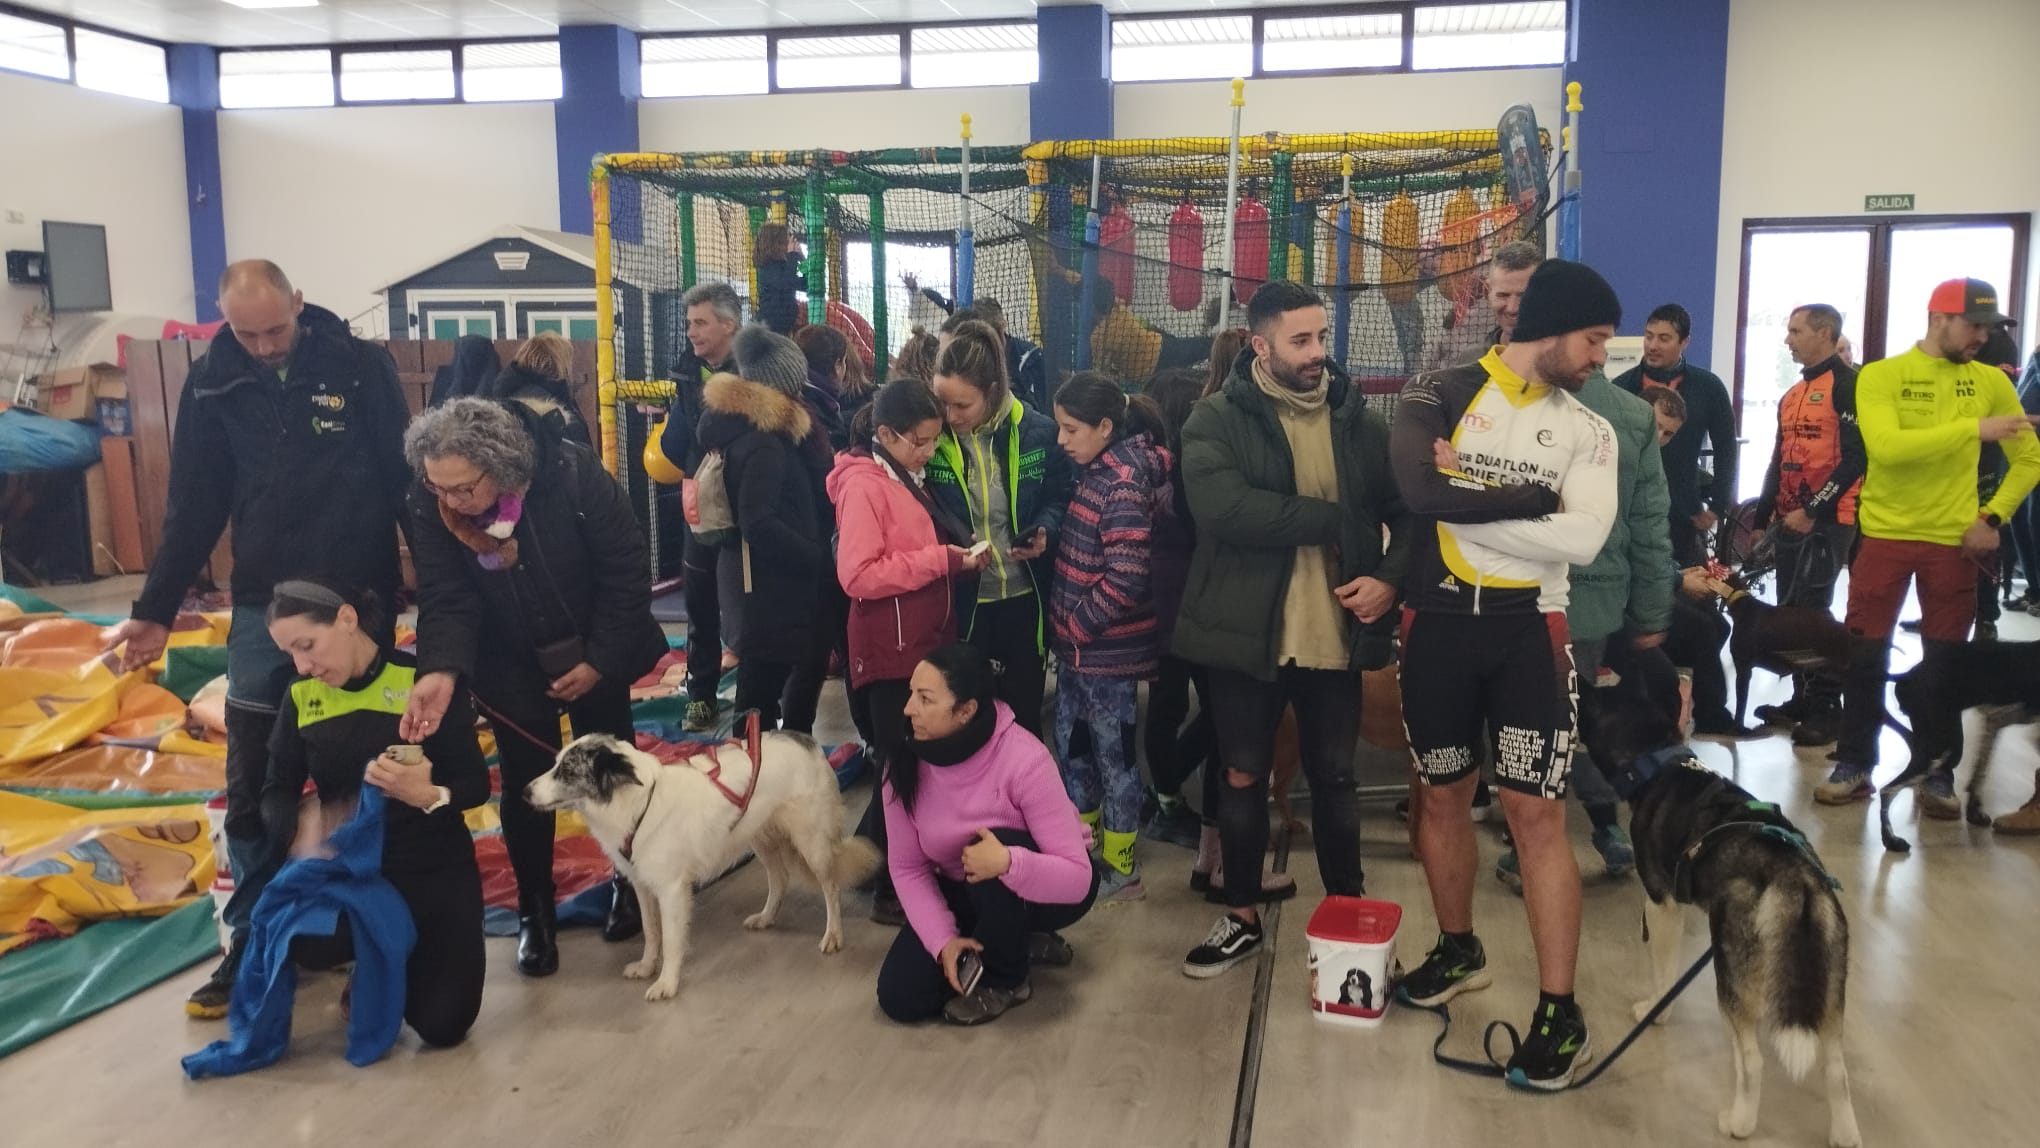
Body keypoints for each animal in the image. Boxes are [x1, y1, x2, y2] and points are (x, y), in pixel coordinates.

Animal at [526, 734, 877, 1003]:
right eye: (556, 764)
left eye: (566, 771)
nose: (524, 791)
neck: (637, 803)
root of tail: (808, 741)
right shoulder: (642, 884)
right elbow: (651, 933)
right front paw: (646, 967)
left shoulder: (671, 891)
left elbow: (670, 941)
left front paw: (666, 983)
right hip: (758, 836)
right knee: (779, 878)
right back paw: (766, 917)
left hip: (810, 841)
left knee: (831, 887)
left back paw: (833, 935)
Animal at [1583, 689, 1860, 1141]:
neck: (1661, 764)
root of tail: (1794, 879)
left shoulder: (1661, 906)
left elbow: (1663, 976)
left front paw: (1654, 1013)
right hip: (1831, 986)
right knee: (1836, 1069)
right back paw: (1845, 1135)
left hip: (1730, 974)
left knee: (1752, 1061)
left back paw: (1739, 1123)